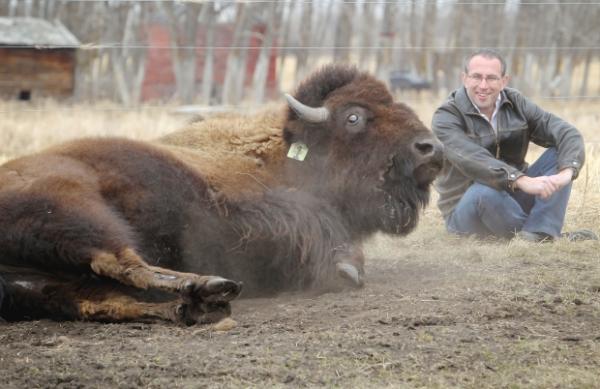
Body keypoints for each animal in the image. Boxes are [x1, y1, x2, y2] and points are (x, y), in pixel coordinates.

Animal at [0, 64, 440, 324]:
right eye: (353, 117)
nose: (430, 148)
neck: (280, 154)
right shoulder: (243, 205)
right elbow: (313, 221)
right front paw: (346, 268)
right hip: (75, 211)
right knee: (122, 262)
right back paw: (211, 288)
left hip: (36, 279)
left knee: (91, 297)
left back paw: (189, 306)